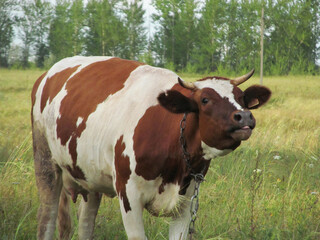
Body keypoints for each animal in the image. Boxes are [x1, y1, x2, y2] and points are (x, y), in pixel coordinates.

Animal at [31, 56, 272, 240]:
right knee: (46, 217)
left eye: (241, 98)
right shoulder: (128, 194)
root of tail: (47, 74)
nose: (244, 117)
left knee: (85, 222)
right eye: (204, 99)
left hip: (89, 178)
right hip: (45, 161)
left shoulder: (187, 200)